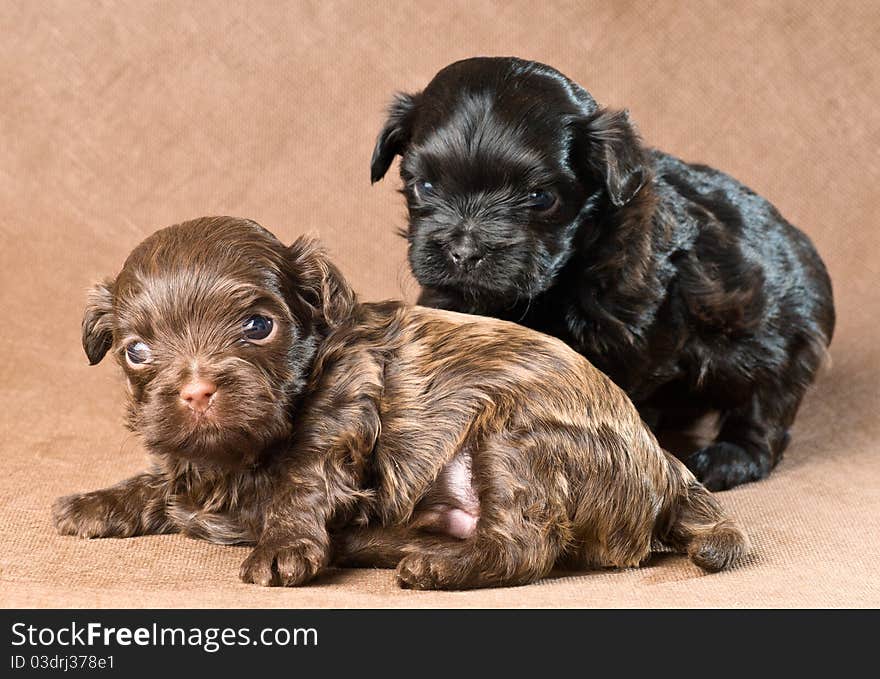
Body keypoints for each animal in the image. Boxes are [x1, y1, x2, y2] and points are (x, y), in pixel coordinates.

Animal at [51, 216, 744, 588]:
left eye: (258, 326)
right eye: (137, 352)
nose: (195, 388)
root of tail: (667, 470)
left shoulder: (341, 419)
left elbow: (303, 479)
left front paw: (282, 546)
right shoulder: (190, 466)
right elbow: (160, 482)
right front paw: (98, 502)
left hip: (516, 441)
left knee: (526, 545)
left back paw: (434, 567)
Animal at [368, 57, 836, 488]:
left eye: (541, 198)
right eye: (425, 186)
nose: (464, 251)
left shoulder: (628, 340)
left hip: (778, 340)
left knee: (764, 404)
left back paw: (729, 456)